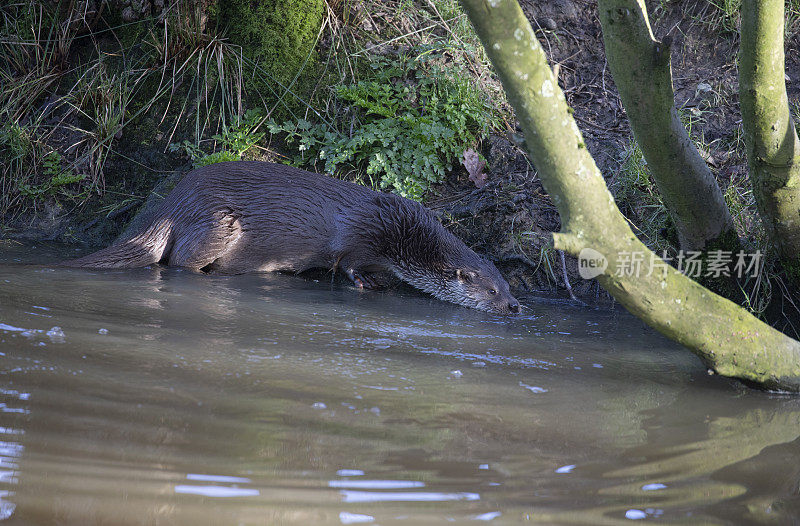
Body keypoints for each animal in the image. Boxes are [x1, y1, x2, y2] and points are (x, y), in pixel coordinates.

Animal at [62, 162, 520, 314]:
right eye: (492, 290)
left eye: (509, 284)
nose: (515, 306)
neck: (402, 234)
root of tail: (174, 201)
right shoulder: (362, 239)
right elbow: (348, 264)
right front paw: (369, 283)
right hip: (217, 221)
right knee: (178, 262)